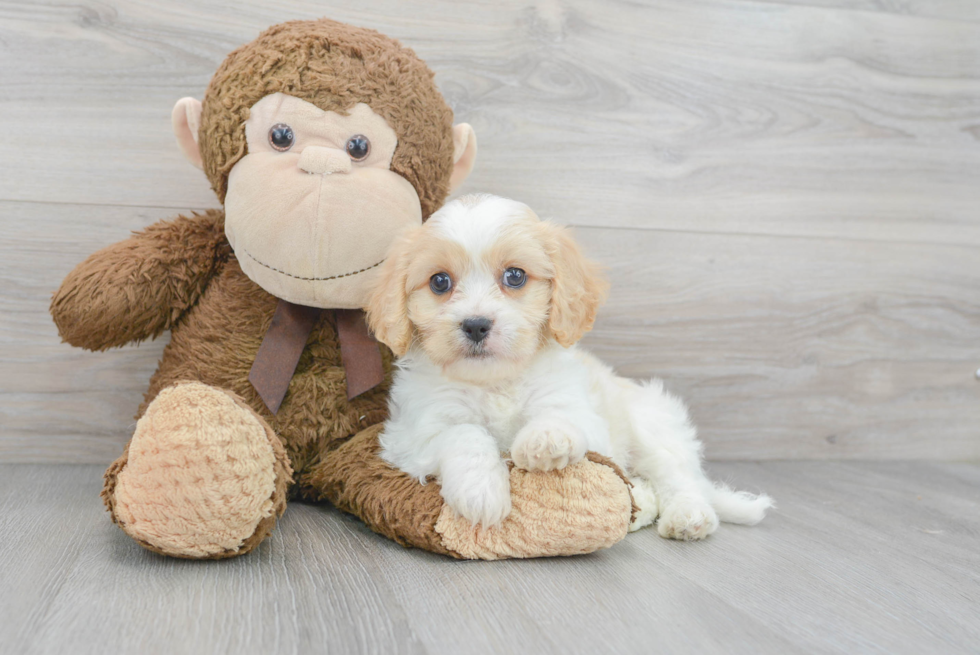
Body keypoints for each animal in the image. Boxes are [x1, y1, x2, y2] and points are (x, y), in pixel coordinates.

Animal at [368, 196, 772, 544]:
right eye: (440, 282)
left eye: (515, 276)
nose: (476, 325)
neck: (496, 381)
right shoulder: (412, 434)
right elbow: (464, 433)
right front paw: (481, 492)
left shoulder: (585, 418)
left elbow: (562, 417)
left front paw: (546, 438)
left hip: (652, 425)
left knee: (677, 476)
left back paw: (688, 516)